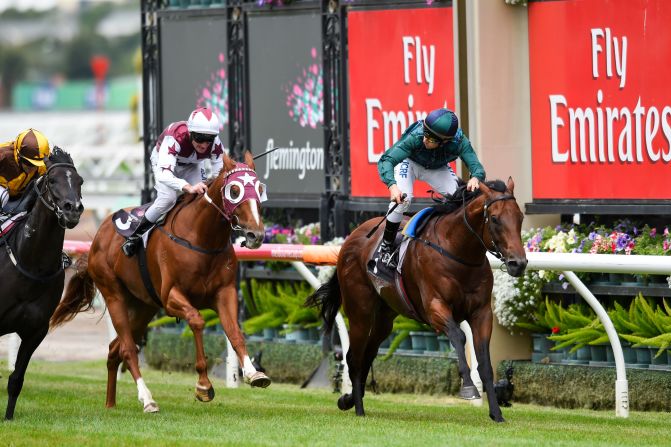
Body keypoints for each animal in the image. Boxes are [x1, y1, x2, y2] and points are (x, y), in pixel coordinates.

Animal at [0, 148, 84, 420]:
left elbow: (16, 380)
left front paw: (8, 418)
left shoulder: (36, 330)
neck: (31, 264)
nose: (72, 209)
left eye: (80, 181)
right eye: (52, 180)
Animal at [50, 152, 270, 414]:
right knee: (127, 349)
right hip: (114, 294)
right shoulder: (171, 297)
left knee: (115, 349)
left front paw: (254, 374)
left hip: (144, 307)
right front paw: (203, 385)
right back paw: (147, 399)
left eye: (260, 188)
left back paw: (110, 403)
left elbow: (235, 332)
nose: (255, 235)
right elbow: (197, 320)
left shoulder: (224, 293)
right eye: (235, 190)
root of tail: (98, 235)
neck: (201, 238)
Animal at [308, 178, 528, 424]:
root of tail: (351, 238)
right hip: (360, 312)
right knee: (354, 357)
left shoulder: (481, 313)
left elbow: (485, 362)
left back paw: (348, 400)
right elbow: (459, 336)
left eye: (520, 217)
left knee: (368, 354)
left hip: (384, 318)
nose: (518, 263)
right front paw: (469, 388)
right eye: (495, 218)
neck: (458, 252)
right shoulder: (435, 308)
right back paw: (358, 408)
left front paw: (496, 413)